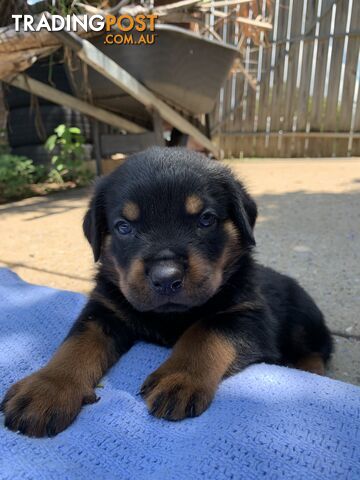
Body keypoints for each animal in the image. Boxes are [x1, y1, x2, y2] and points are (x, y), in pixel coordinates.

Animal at [0, 148, 332, 436]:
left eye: (206, 219)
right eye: (123, 227)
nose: (166, 278)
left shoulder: (248, 315)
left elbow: (204, 333)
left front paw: (180, 377)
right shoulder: (104, 308)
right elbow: (76, 344)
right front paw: (47, 387)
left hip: (305, 318)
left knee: (318, 349)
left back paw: (312, 371)